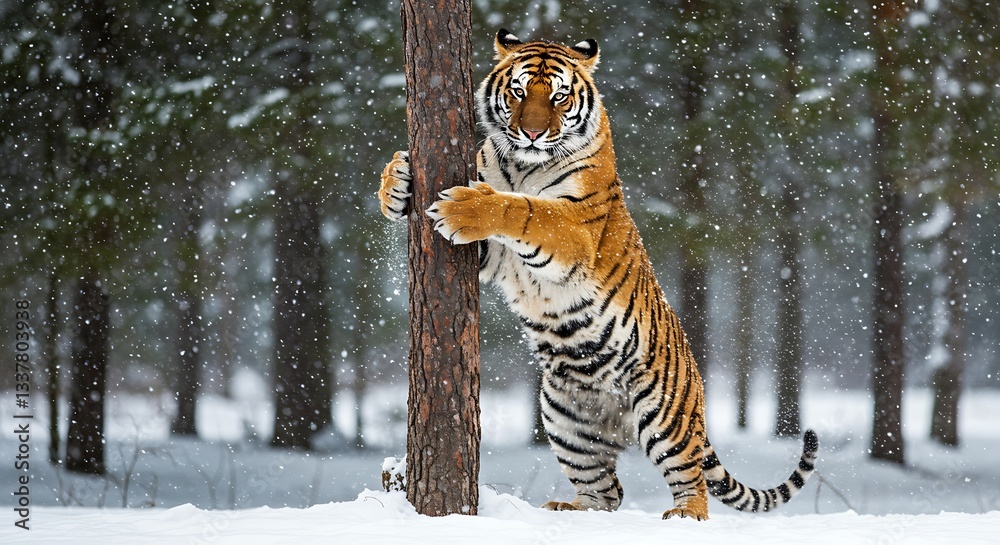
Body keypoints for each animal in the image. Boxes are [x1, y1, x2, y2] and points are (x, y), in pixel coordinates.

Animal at [378, 28, 818, 520]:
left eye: (558, 96)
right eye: (518, 92)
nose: (532, 132)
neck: (522, 164)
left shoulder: (573, 231)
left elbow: (524, 209)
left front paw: (468, 205)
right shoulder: (496, 258)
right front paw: (397, 179)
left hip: (665, 416)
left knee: (691, 478)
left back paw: (685, 515)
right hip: (564, 419)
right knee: (606, 493)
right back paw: (568, 509)